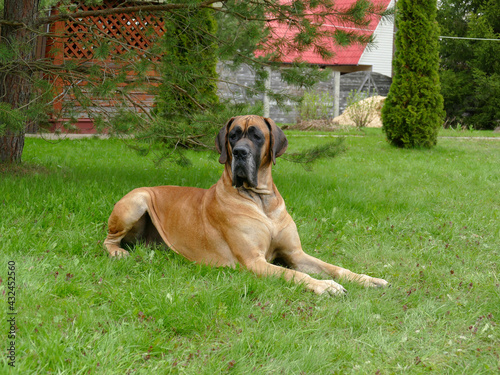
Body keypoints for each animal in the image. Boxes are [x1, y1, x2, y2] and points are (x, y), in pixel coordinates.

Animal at [103, 116, 388, 296]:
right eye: (233, 136)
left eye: (257, 136)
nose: (240, 152)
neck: (260, 200)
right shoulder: (254, 261)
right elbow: (295, 275)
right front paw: (324, 286)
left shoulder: (295, 254)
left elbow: (335, 267)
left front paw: (366, 279)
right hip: (137, 200)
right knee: (108, 240)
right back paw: (118, 253)